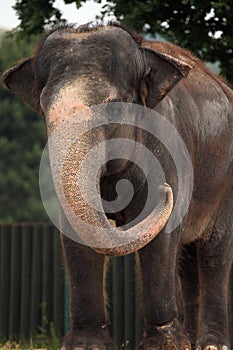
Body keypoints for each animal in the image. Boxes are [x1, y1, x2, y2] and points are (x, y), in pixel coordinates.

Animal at [2, 22, 233, 350]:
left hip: (225, 183)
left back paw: (212, 344)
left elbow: (163, 237)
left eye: (112, 106)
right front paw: (85, 345)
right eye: (45, 107)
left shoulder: (168, 145)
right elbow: (75, 231)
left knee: (214, 252)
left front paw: (164, 345)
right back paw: (192, 341)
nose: (166, 192)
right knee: (188, 259)